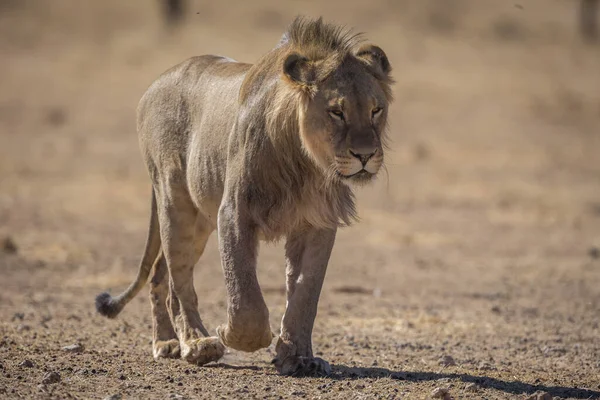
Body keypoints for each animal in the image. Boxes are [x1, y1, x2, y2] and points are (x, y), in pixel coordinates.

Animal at [94, 16, 394, 378]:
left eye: (376, 110)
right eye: (337, 111)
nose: (365, 155)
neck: (305, 163)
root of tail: (157, 81)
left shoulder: (317, 223)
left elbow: (305, 292)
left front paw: (298, 356)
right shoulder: (234, 212)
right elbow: (245, 295)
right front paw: (233, 334)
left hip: (200, 222)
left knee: (159, 275)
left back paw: (167, 341)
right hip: (175, 203)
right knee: (179, 281)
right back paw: (196, 343)